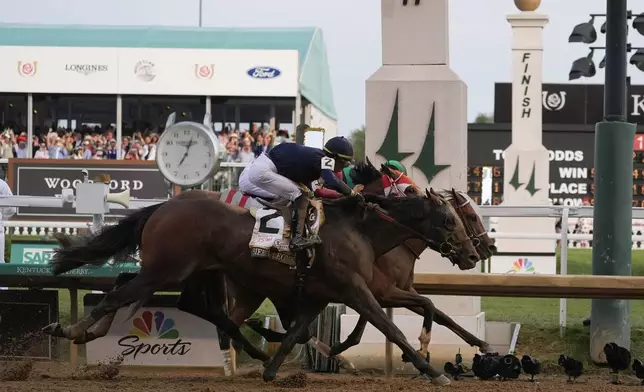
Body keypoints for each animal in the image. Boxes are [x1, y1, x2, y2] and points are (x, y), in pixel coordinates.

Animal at [45, 191, 478, 384]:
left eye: (463, 218)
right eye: (452, 220)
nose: (474, 254)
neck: (361, 231)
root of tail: (164, 206)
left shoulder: (322, 294)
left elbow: (298, 332)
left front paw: (272, 370)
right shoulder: (357, 290)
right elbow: (389, 327)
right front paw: (432, 369)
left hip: (184, 272)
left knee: (146, 293)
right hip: (170, 269)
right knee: (119, 294)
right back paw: (72, 329)